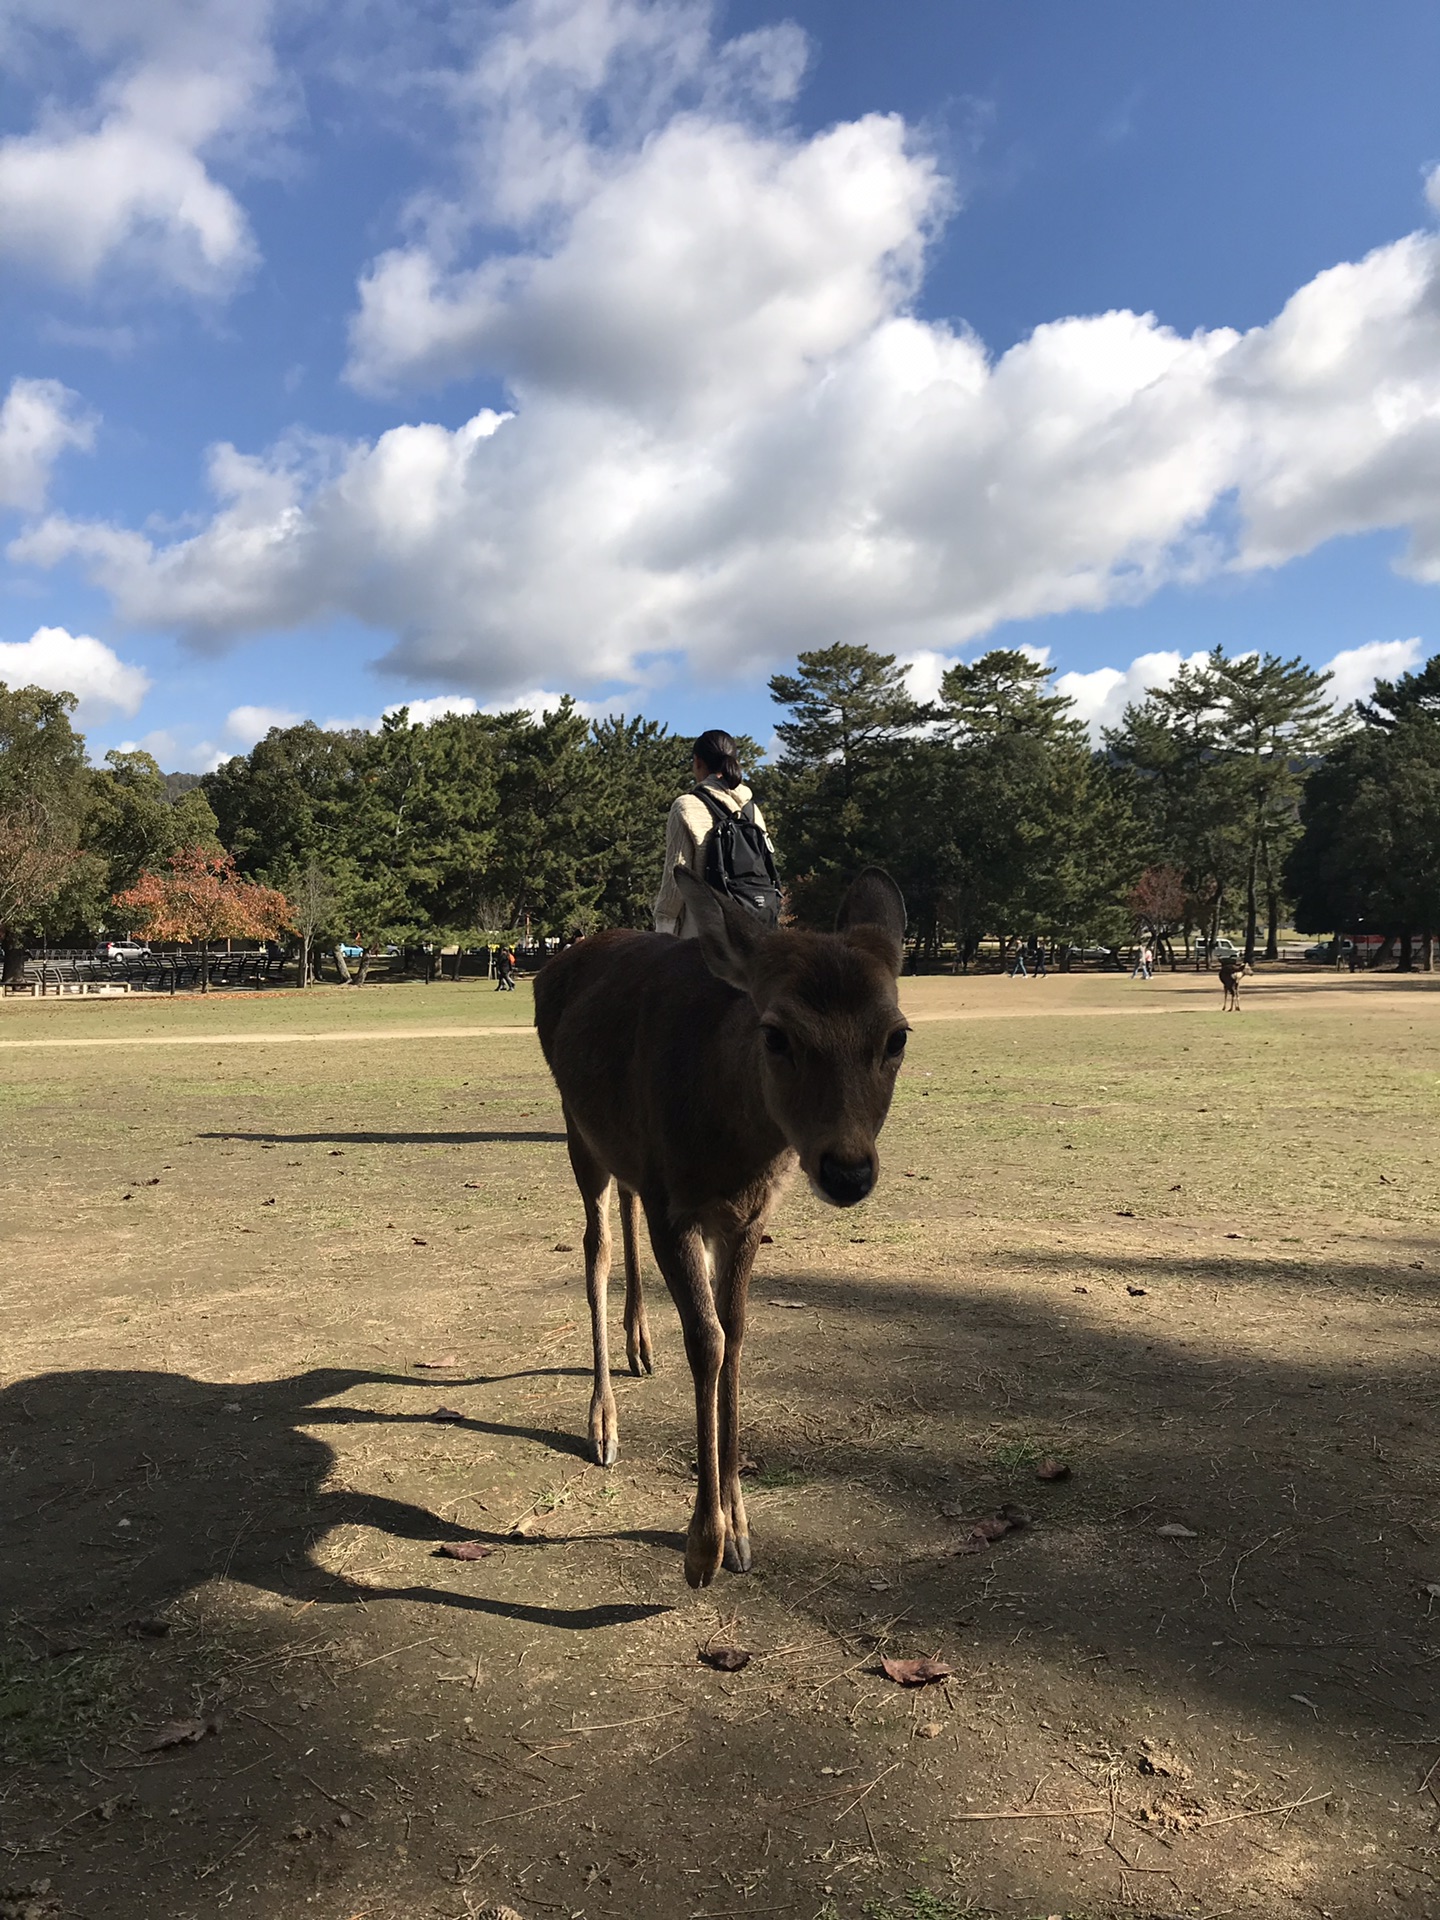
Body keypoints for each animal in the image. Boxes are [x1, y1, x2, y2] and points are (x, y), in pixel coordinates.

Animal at [537, 871, 906, 1589]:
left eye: (898, 1036)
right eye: (776, 1034)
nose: (847, 1170)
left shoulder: (748, 1217)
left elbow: (734, 1336)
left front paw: (740, 1531)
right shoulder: (675, 1204)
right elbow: (706, 1342)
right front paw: (702, 1546)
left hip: (630, 1155)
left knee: (625, 1210)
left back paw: (640, 1347)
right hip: (577, 1127)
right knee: (595, 1248)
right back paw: (603, 1424)